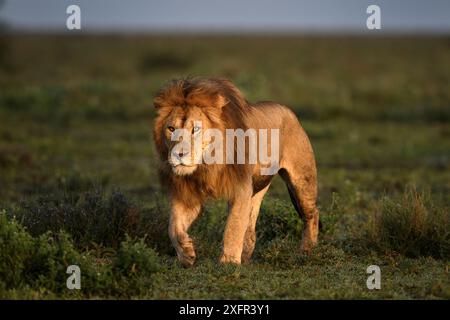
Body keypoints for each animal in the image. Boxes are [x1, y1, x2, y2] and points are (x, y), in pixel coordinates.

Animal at [155, 78, 320, 268]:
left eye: (195, 129)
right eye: (171, 129)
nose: (179, 154)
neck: (208, 165)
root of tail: (288, 110)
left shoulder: (240, 188)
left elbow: (233, 226)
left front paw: (228, 263)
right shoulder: (188, 194)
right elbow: (173, 227)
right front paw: (186, 254)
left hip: (302, 182)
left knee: (312, 214)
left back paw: (307, 251)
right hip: (257, 188)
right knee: (250, 225)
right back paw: (247, 256)